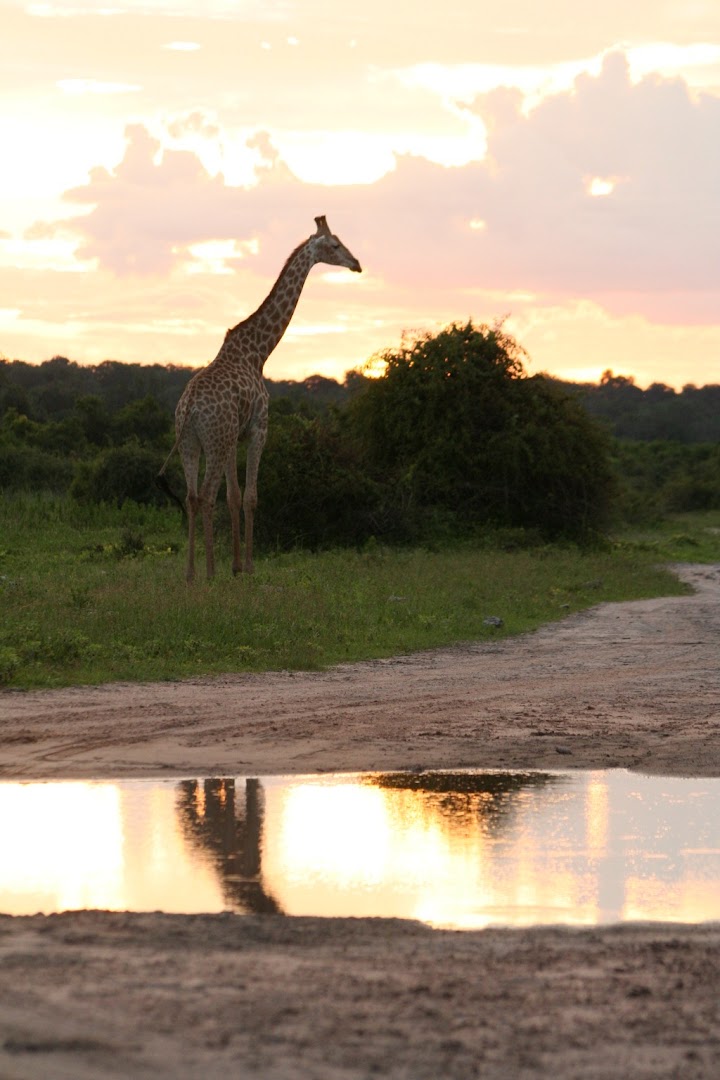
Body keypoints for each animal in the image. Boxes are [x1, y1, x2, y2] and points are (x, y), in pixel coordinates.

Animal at [157, 212, 360, 583]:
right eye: (336, 245)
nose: (357, 264)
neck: (259, 352)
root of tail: (189, 407)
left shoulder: (235, 435)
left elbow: (234, 496)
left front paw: (236, 566)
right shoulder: (258, 428)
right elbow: (250, 496)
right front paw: (248, 567)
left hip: (192, 442)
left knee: (192, 496)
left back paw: (191, 574)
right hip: (214, 440)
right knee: (205, 495)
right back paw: (210, 573)